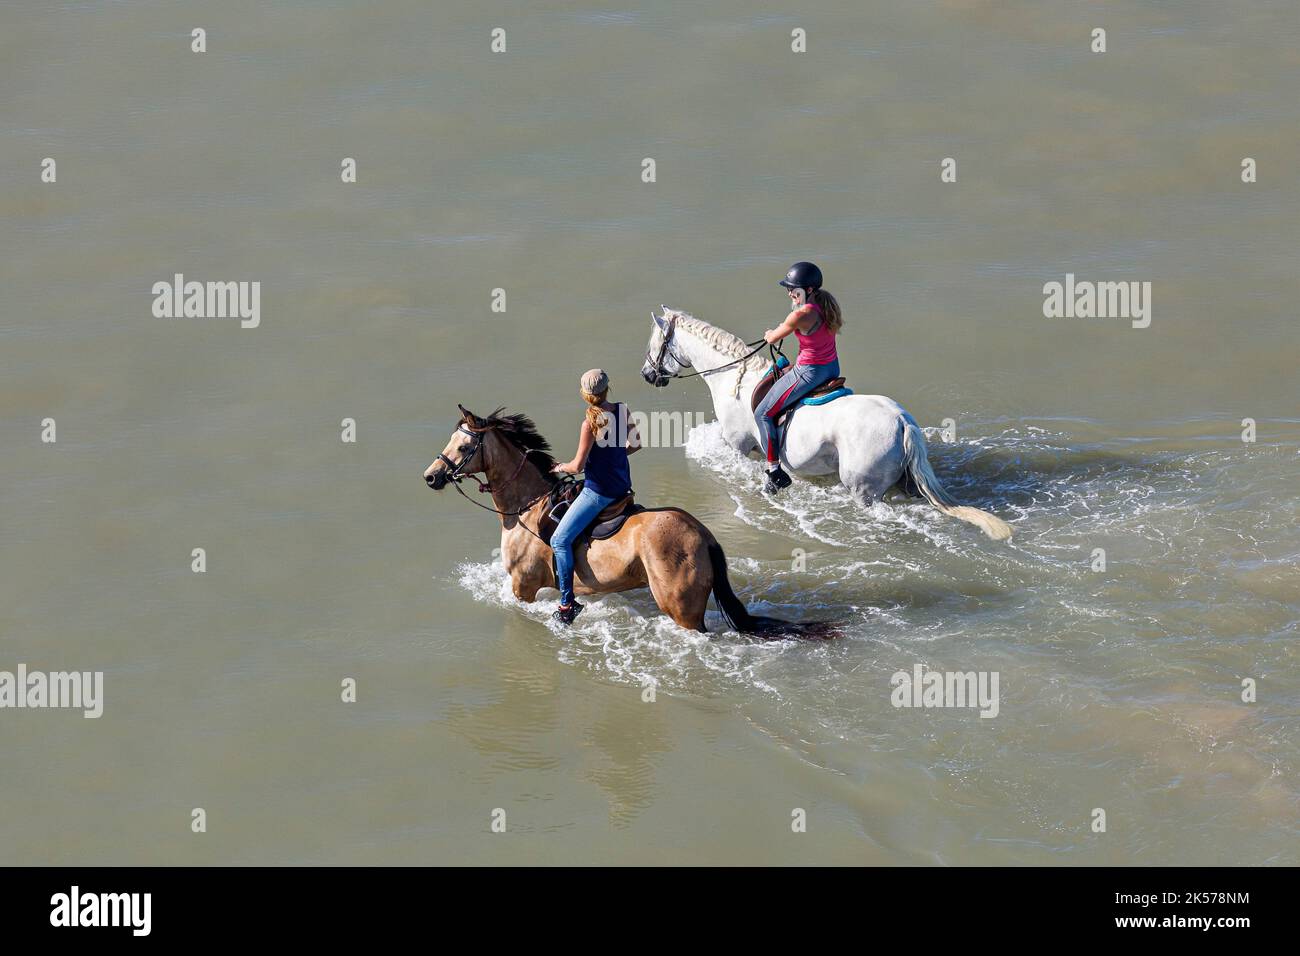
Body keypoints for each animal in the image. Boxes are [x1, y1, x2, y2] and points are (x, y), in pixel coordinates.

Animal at [426, 403, 790, 634]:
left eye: (463, 447)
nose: (431, 477)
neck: (526, 506)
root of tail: (703, 534)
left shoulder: (522, 586)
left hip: (681, 608)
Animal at [642, 310, 1013, 541]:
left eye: (655, 343)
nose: (647, 375)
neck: (734, 377)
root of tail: (902, 421)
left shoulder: (737, 445)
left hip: (862, 489)